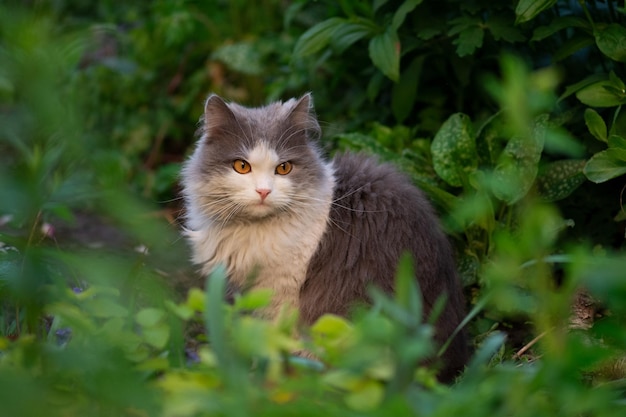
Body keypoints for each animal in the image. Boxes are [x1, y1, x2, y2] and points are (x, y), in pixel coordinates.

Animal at [180, 94, 468, 380]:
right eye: (242, 166)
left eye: (283, 168)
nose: (263, 191)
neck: (254, 230)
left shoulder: (282, 292)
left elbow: (275, 340)